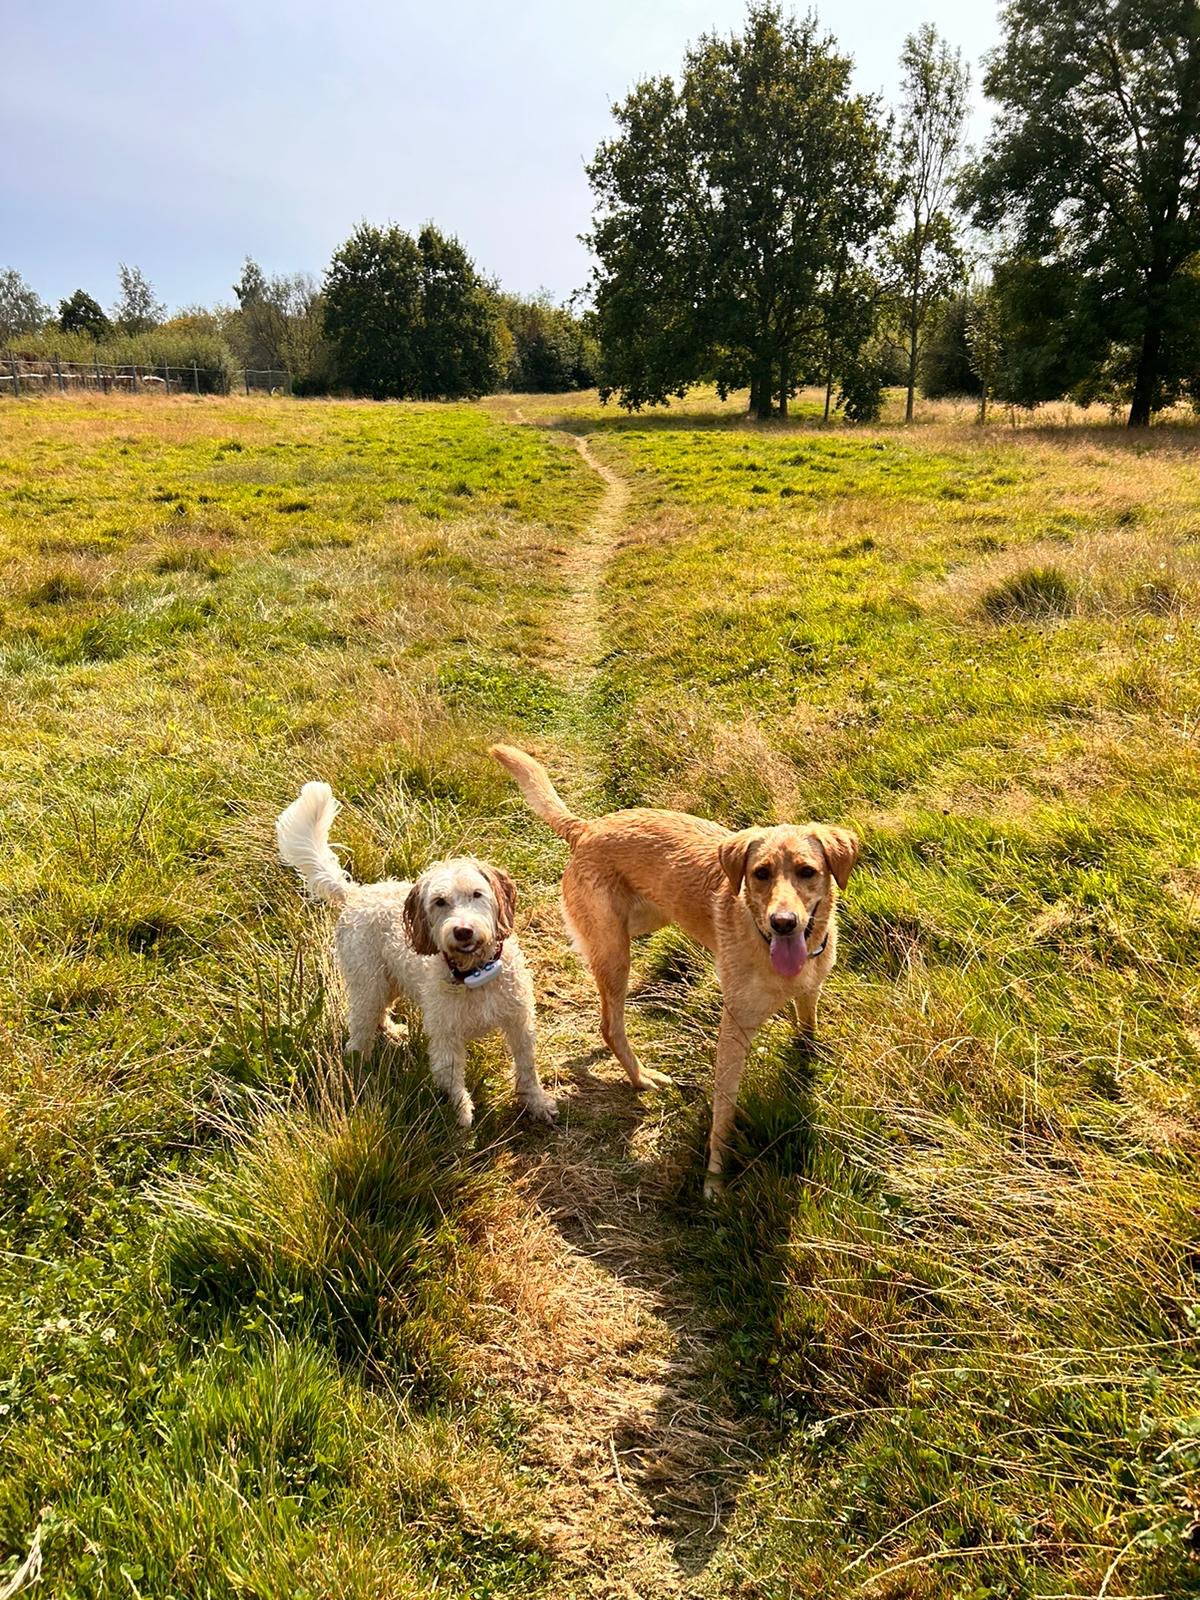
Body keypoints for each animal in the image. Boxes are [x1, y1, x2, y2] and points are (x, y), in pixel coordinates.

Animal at [275, 782, 556, 1128]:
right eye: (439, 901)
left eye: (477, 894)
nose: (462, 931)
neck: (475, 973)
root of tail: (356, 894)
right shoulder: (445, 1037)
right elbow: (453, 1080)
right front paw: (463, 1120)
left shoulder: (520, 1022)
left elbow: (527, 1068)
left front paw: (537, 1103)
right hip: (367, 985)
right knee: (361, 1029)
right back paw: (359, 1064)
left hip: (390, 982)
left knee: (380, 1014)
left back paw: (393, 1032)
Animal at [490, 746, 857, 1196]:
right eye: (761, 874)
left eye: (807, 871)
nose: (783, 922)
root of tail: (587, 829)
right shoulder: (734, 1031)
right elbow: (724, 1113)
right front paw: (715, 1177)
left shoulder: (809, 992)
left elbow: (806, 1029)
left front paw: (807, 1057)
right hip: (618, 952)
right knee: (610, 1023)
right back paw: (639, 1076)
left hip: (643, 923)